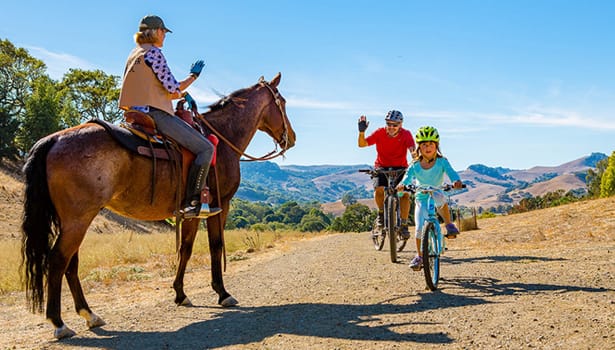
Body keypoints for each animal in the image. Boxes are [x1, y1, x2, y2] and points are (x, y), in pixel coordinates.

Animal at [21, 72, 296, 338]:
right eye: (282, 102)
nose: (291, 138)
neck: (222, 135)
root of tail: (54, 139)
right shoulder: (221, 205)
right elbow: (215, 247)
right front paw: (222, 293)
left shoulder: (192, 211)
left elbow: (185, 249)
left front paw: (180, 294)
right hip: (78, 219)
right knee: (58, 260)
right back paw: (59, 323)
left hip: (72, 220)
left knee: (71, 263)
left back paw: (89, 315)